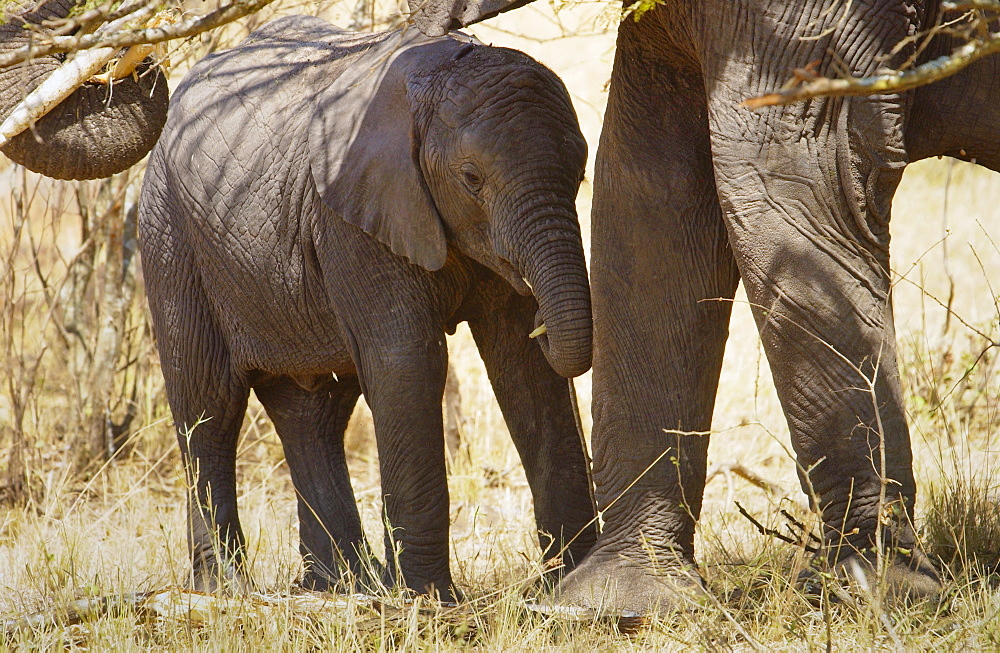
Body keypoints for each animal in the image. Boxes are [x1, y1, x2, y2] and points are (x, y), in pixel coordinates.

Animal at [138, 15, 596, 600]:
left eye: (581, 171)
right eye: (471, 179)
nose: (544, 316)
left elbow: (523, 366)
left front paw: (573, 583)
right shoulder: (351, 216)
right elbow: (407, 363)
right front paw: (428, 600)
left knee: (314, 412)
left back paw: (343, 585)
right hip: (169, 232)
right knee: (207, 403)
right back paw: (224, 588)